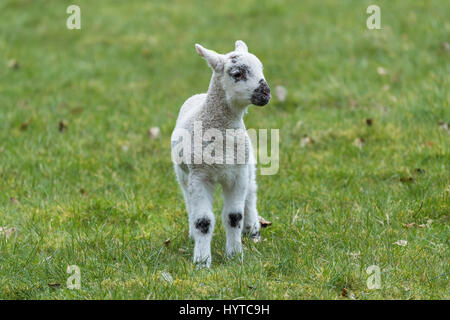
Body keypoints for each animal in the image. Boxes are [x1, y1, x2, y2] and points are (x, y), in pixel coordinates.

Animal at [171, 40, 270, 268]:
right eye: (237, 73)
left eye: (261, 68)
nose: (267, 93)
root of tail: (198, 95)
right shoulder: (199, 175)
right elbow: (203, 221)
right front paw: (201, 262)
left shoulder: (237, 174)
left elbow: (234, 216)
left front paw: (235, 257)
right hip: (183, 173)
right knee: (187, 198)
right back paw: (192, 233)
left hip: (248, 164)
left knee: (251, 192)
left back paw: (252, 228)